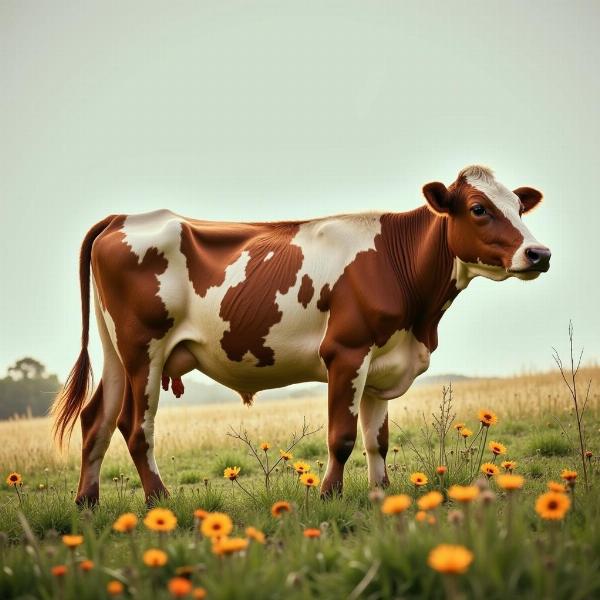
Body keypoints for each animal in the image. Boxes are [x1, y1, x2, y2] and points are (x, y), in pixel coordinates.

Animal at [54, 163, 552, 502]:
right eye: (478, 208)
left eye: (519, 207)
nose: (539, 253)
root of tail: (124, 218)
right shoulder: (346, 352)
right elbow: (342, 437)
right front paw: (330, 495)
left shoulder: (382, 362)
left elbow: (377, 441)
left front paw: (382, 497)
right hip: (144, 348)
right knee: (135, 426)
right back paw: (160, 501)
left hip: (116, 351)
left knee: (97, 419)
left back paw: (87, 503)